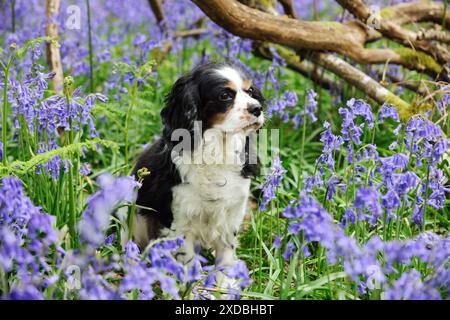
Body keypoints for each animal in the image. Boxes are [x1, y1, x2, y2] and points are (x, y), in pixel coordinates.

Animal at [131, 62, 264, 276]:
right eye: (224, 95)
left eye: (250, 91)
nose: (257, 108)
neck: (217, 149)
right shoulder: (180, 217)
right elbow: (187, 256)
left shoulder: (233, 211)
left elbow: (226, 250)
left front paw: (226, 280)